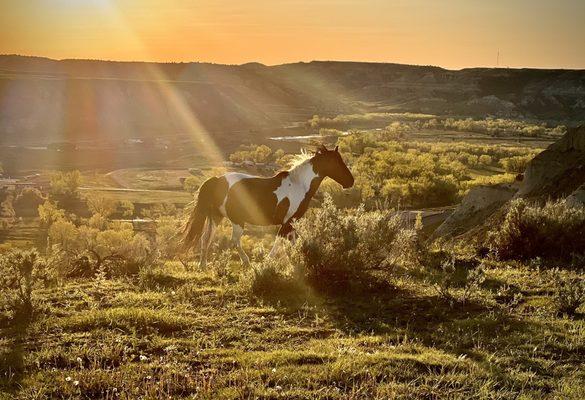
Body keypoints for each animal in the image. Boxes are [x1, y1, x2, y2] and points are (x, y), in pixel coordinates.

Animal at [182, 145, 354, 268]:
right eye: (337, 162)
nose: (351, 181)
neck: (300, 185)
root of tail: (217, 180)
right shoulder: (287, 222)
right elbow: (279, 243)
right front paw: (267, 262)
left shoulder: (292, 223)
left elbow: (292, 243)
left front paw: (296, 263)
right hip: (237, 220)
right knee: (234, 240)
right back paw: (246, 262)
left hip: (216, 217)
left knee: (205, 238)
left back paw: (202, 266)